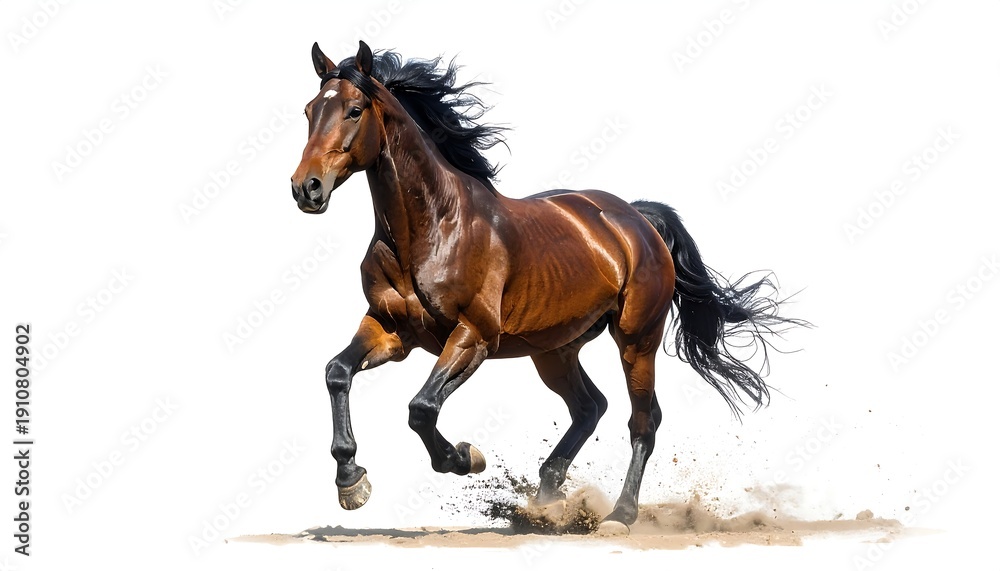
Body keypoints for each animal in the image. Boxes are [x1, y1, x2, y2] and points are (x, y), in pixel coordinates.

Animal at [290, 40, 806, 529]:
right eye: (310, 111)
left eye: (355, 110)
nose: (305, 188)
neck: (430, 229)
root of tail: (638, 219)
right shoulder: (391, 329)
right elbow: (337, 372)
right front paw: (351, 480)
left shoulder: (473, 335)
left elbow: (422, 407)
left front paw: (465, 457)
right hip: (554, 351)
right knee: (590, 407)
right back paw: (547, 500)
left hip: (636, 340)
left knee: (643, 420)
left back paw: (619, 515)